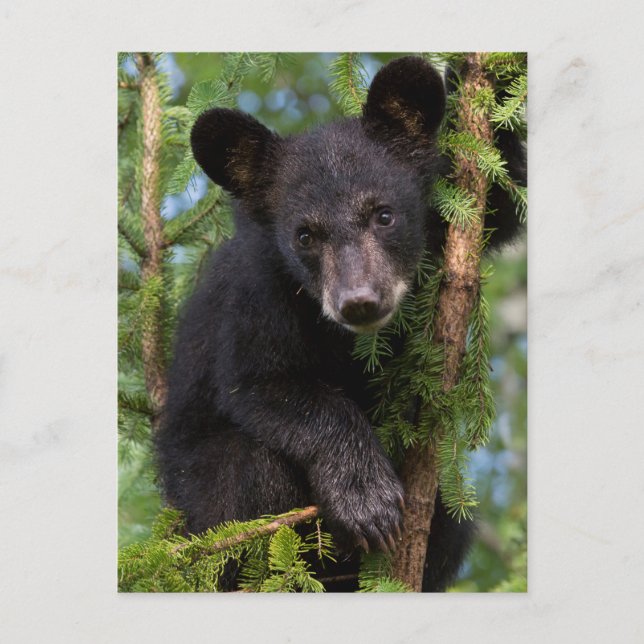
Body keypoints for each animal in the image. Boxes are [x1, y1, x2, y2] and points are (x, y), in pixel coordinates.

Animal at [155, 55, 525, 592]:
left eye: (384, 215)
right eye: (305, 235)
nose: (359, 302)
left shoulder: (449, 223)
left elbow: (502, 193)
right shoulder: (257, 295)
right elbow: (263, 384)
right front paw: (366, 499)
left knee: (451, 525)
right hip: (200, 503)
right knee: (244, 474)